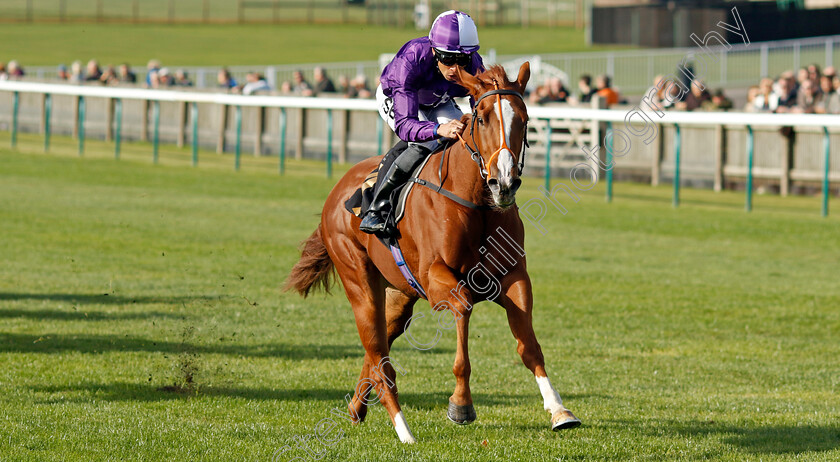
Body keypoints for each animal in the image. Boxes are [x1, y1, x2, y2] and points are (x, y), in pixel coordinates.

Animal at [286, 62, 580, 444]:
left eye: (525, 118)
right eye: (482, 118)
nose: (504, 182)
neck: (476, 201)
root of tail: (337, 192)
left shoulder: (514, 277)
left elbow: (529, 345)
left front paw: (560, 410)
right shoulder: (437, 277)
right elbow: (463, 310)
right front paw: (461, 404)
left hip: (398, 294)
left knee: (377, 349)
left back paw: (356, 408)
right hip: (358, 279)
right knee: (379, 353)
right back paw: (404, 431)